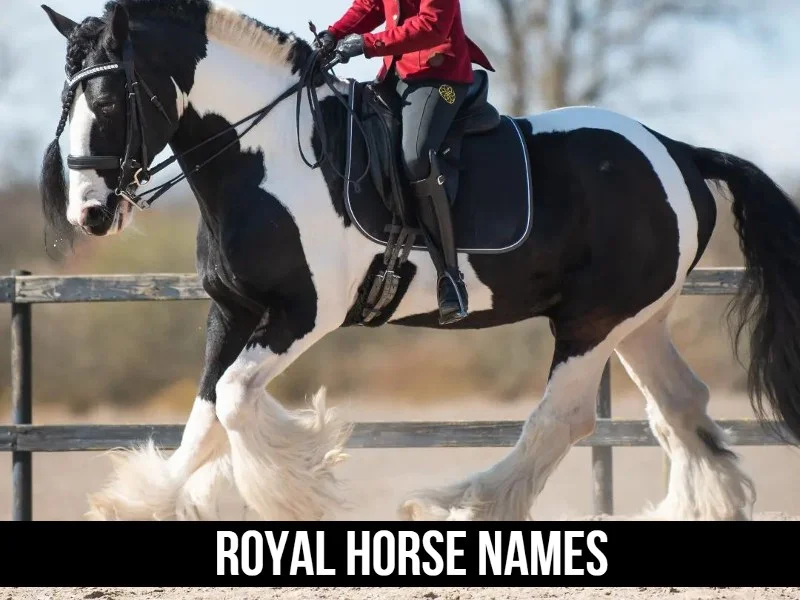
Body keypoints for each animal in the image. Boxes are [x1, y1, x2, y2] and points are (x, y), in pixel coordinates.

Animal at [38, 0, 800, 522]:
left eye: (108, 97)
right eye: (65, 97)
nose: (89, 212)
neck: (266, 158)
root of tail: (676, 151)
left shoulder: (302, 314)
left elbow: (233, 399)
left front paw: (298, 483)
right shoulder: (232, 313)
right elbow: (203, 416)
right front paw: (144, 501)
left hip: (592, 320)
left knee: (562, 421)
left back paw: (459, 506)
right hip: (637, 319)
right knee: (680, 407)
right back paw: (701, 508)